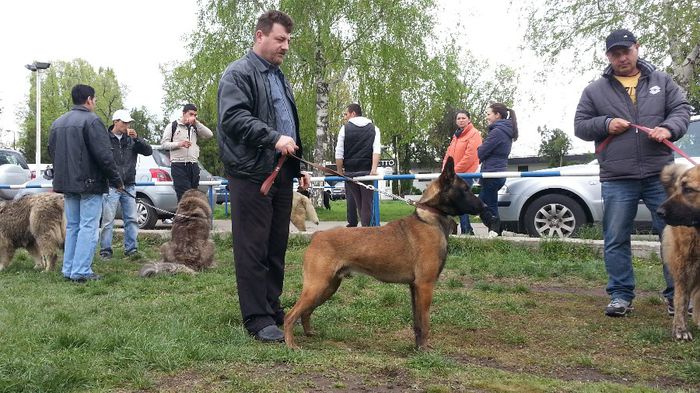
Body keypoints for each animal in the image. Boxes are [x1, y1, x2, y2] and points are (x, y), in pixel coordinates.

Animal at [284, 155, 498, 348]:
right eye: (465, 189)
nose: (485, 206)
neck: (430, 218)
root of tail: (317, 235)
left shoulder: (415, 287)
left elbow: (417, 322)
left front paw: (418, 347)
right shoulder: (425, 285)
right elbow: (425, 322)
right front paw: (424, 350)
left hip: (328, 286)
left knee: (305, 312)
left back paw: (309, 333)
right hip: (317, 286)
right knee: (290, 315)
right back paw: (291, 345)